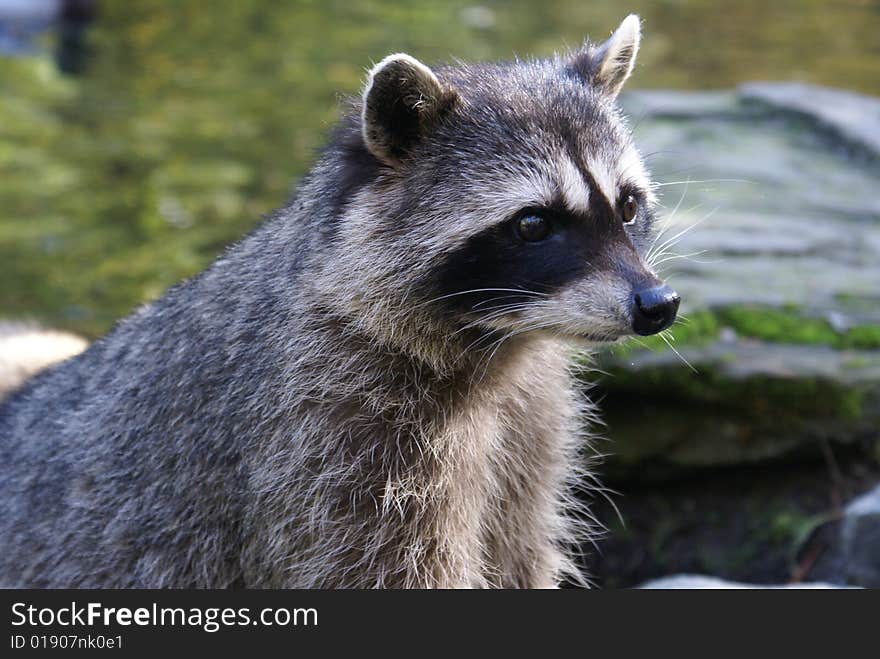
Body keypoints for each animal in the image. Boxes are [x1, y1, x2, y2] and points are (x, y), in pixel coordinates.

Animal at [0, 15, 680, 592]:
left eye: (627, 205)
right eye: (534, 223)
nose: (658, 304)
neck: (501, 337)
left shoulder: (532, 428)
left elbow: (518, 550)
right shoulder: (330, 430)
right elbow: (378, 570)